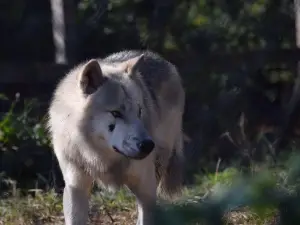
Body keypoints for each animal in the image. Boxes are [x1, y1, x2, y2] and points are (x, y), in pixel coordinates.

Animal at [47, 50, 185, 224]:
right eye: (116, 113)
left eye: (139, 111)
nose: (147, 145)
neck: (101, 157)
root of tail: (155, 56)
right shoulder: (75, 187)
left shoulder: (145, 187)